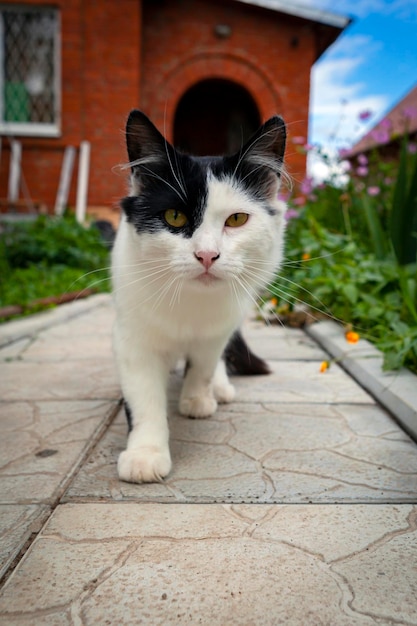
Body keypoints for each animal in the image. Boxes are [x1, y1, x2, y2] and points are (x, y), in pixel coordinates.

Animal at [110, 109, 286, 482]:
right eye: (174, 216)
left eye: (237, 219)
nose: (207, 255)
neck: (189, 301)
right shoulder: (133, 338)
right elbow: (143, 397)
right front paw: (145, 454)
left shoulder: (216, 331)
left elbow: (203, 364)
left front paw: (195, 399)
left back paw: (217, 389)